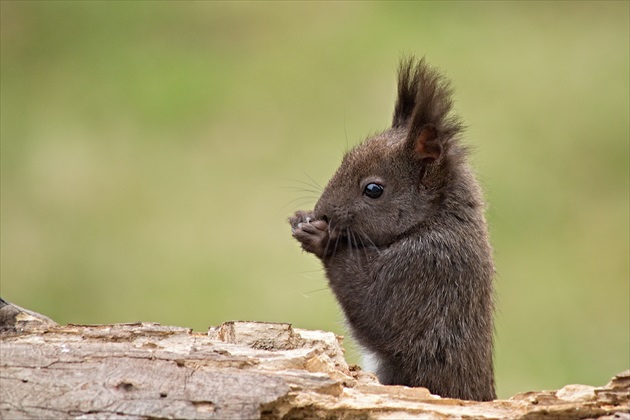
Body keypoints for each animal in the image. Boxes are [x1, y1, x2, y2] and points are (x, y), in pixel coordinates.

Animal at [292, 57, 498, 402]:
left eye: (373, 189)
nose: (322, 212)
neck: (436, 219)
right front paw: (302, 217)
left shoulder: (424, 268)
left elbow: (373, 306)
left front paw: (321, 238)